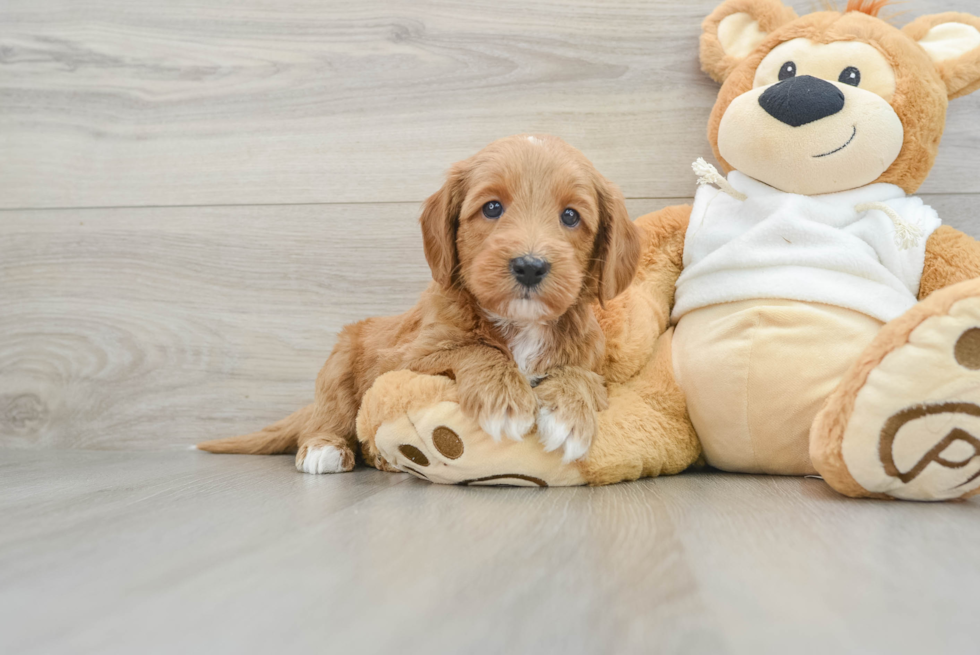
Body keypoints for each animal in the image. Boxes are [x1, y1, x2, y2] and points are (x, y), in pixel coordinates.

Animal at [199, 135, 644, 472]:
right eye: (492, 207)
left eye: (570, 216)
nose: (530, 266)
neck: (521, 325)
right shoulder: (405, 358)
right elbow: (474, 347)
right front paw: (504, 400)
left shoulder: (591, 360)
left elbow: (580, 375)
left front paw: (570, 416)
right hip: (337, 367)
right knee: (333, 415)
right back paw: (324, 448)